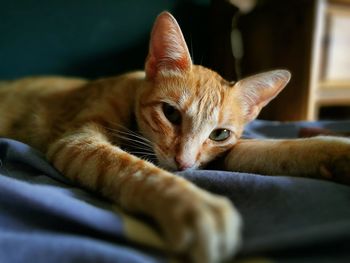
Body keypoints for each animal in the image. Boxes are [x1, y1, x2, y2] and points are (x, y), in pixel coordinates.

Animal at [0, 10, 350, 263]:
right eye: (171, 114)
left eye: (219, 134)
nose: (183, 163)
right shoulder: (77, 141)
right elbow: (137, 169)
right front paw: (195, 206)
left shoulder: (223, 154)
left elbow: (272, 148)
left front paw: (335, 149)